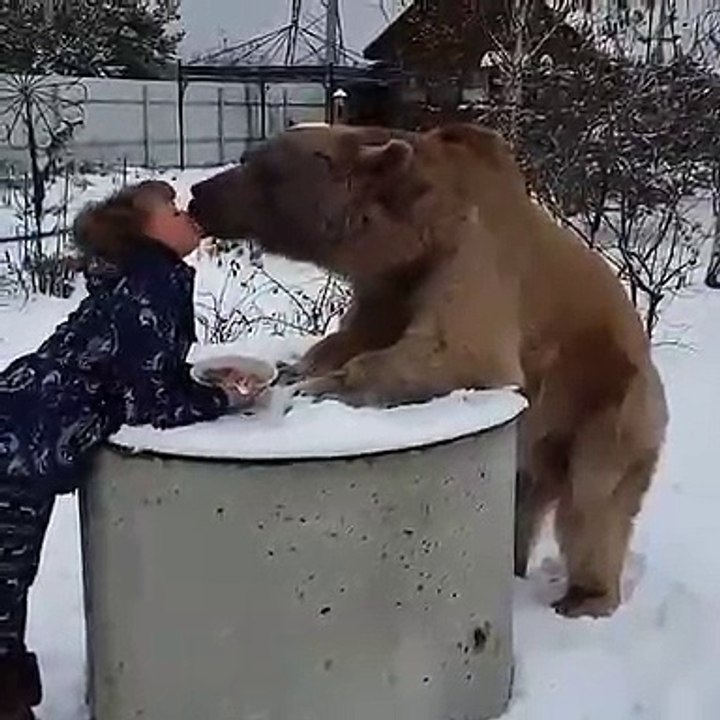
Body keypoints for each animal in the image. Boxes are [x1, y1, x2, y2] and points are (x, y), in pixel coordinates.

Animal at [189, 122, 668, 618]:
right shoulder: (390, 287)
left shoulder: (472, 259)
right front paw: (296, 368)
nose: (198, 193)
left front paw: (315, 388)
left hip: (607, 405)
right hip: (538, 441)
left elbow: (458, 351)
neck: (419, 237)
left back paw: (584, 597)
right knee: (524, 497)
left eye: (265, 168)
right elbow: (354, 336)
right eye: (249, 157)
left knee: (593, 502)